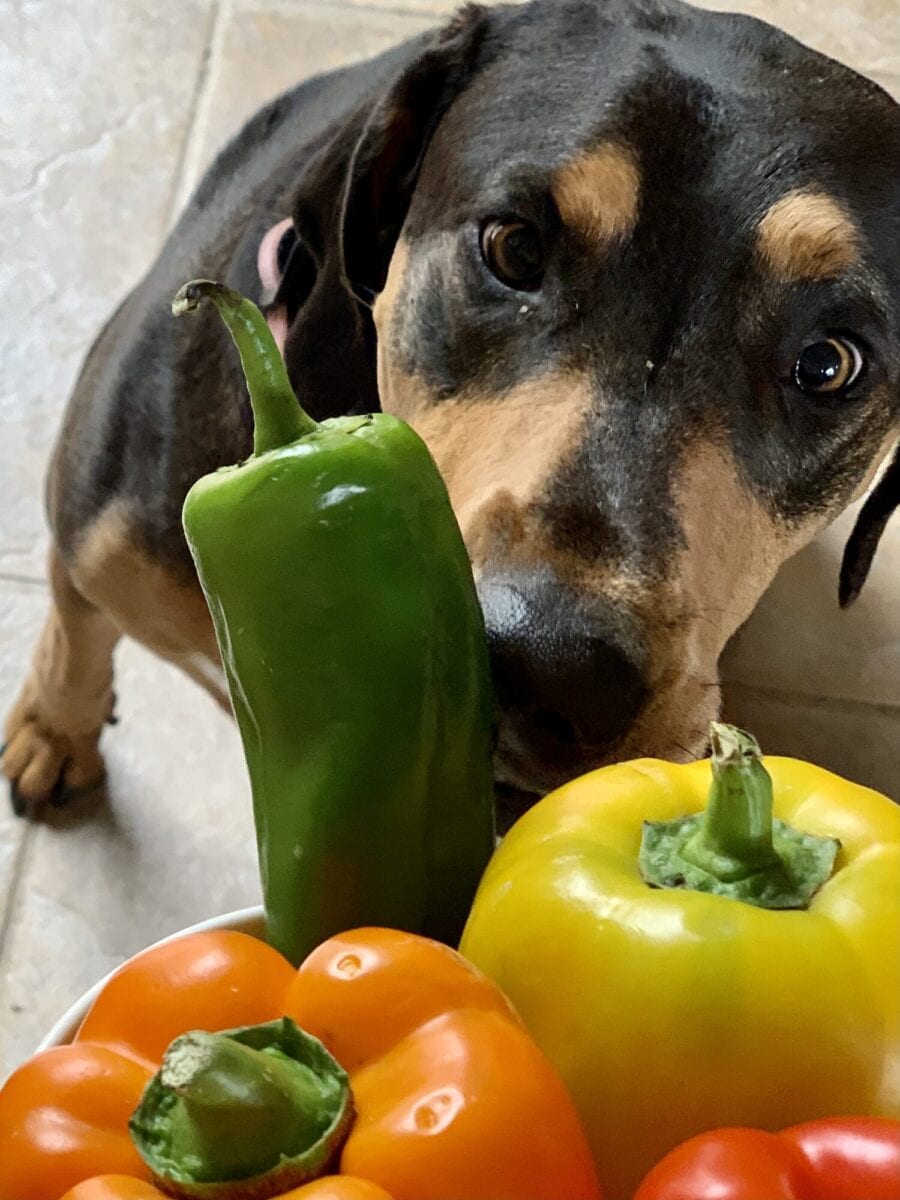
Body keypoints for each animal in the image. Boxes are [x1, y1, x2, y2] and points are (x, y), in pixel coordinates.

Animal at [1, 0, 900, 820]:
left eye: (829, 364)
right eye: (513, 246)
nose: (555, 666)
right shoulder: (94, 541)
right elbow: (74, 625)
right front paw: (53, 730)